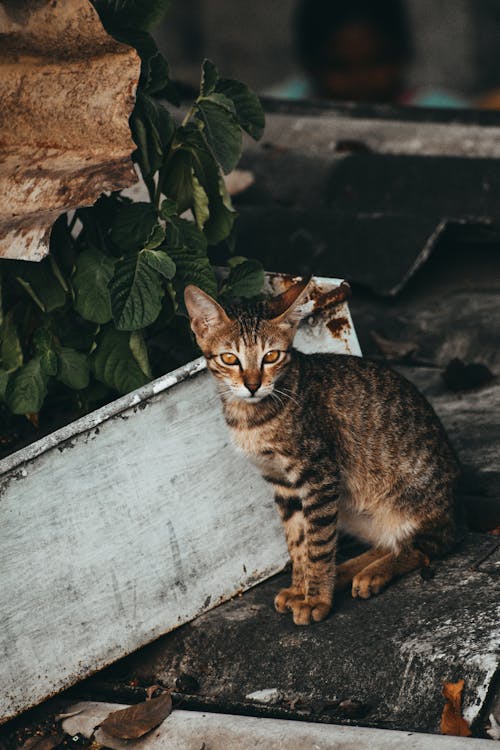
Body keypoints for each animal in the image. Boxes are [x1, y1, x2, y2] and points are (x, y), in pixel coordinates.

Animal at [184, 280, 460, 624]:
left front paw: (315, 598)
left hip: (410, 504)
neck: (251, 418)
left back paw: (373, 573)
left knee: (424, 547)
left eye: (271, 356)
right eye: (230, 358)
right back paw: (349, 571)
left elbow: (318, 544)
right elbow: (298, 541)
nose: (252, 385)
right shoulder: (283, 485)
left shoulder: (318, 475)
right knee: (390, 543)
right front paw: (300, 588)